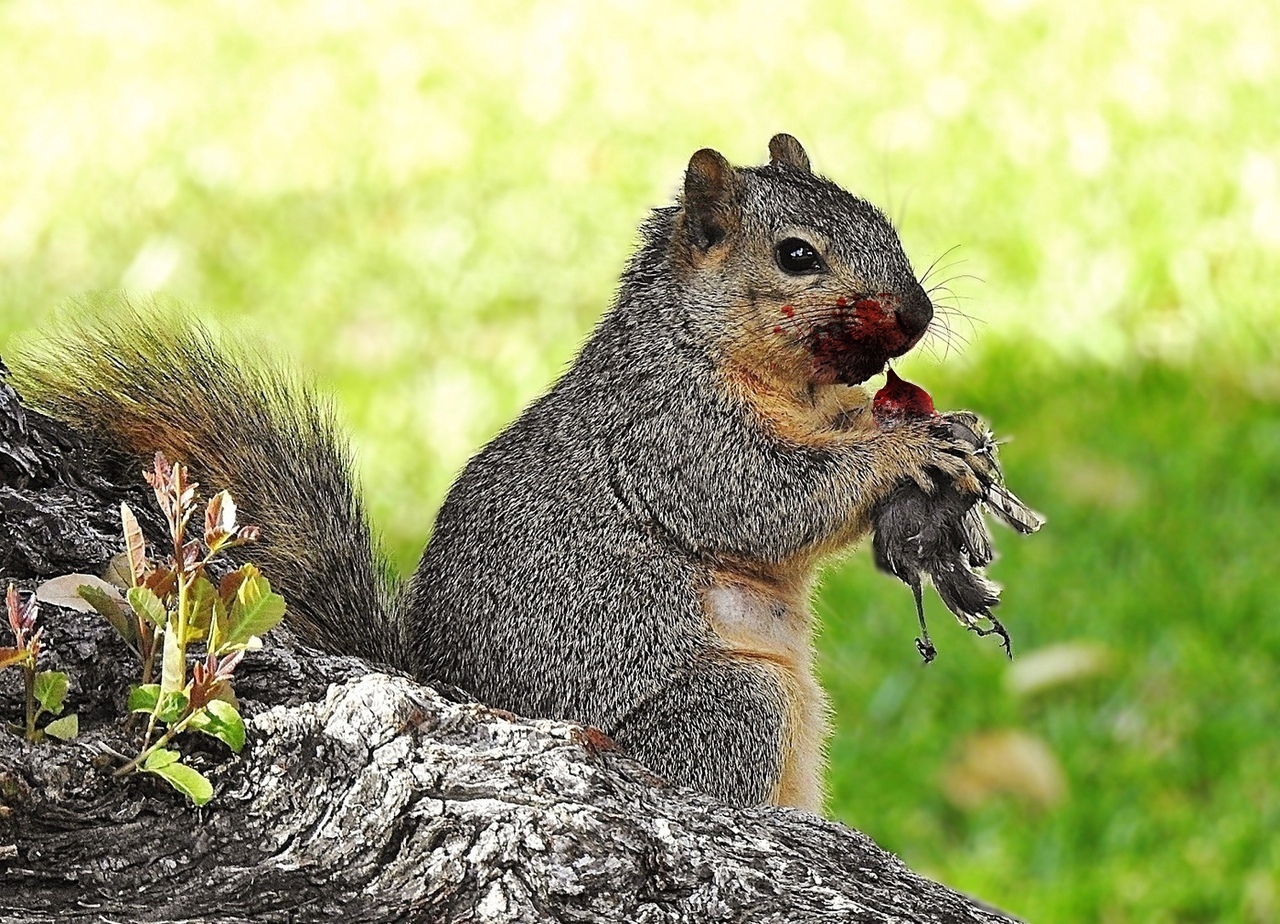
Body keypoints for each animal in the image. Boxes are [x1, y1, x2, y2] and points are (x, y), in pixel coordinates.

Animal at [12, 133, 998, 808]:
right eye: (797, 256)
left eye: (882, 220)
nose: (917, 316)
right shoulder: (667, 433)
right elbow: (763, 504)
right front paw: (903, 449)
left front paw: (942, 427)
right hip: (729, 707)